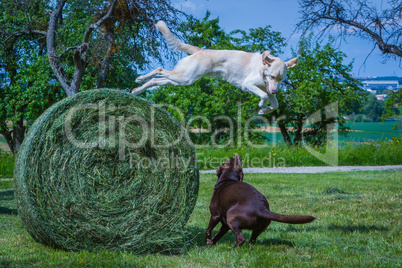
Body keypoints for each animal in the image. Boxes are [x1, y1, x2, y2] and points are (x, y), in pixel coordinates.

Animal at [133, 20, 298, 114]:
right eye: (272, 76)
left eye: (281, 79)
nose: (275, 91)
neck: (262, 70)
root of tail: (200, 50)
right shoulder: (248, 84)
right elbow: (263, 96)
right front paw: (261, 105)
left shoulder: (268, 89)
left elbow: (275, 104)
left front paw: (264, 111)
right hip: (185, 78)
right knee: (159, 70)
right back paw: (140, 79)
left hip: (182, 80)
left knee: (156, 80)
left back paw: (137, 89)